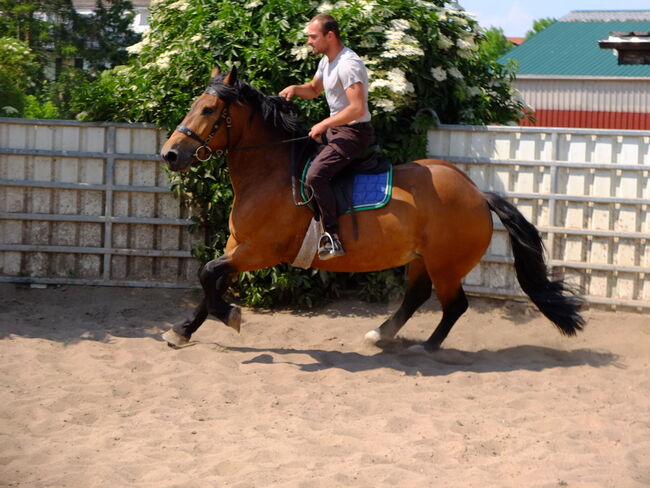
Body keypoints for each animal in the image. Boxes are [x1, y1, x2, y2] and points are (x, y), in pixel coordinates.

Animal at [158, 67, 584, 350]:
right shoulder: (237, 247)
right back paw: (381, 333)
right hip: (422, 259)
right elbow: (209, 281)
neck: (271, 173)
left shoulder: (259, 251)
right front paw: (183, 330)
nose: (170, 154)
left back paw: (427, 347)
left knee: (454, 305)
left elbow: (207, 275)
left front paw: (230, 316)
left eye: (209, 110)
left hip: (446, 264)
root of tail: (478, 194)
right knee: (417, 295)